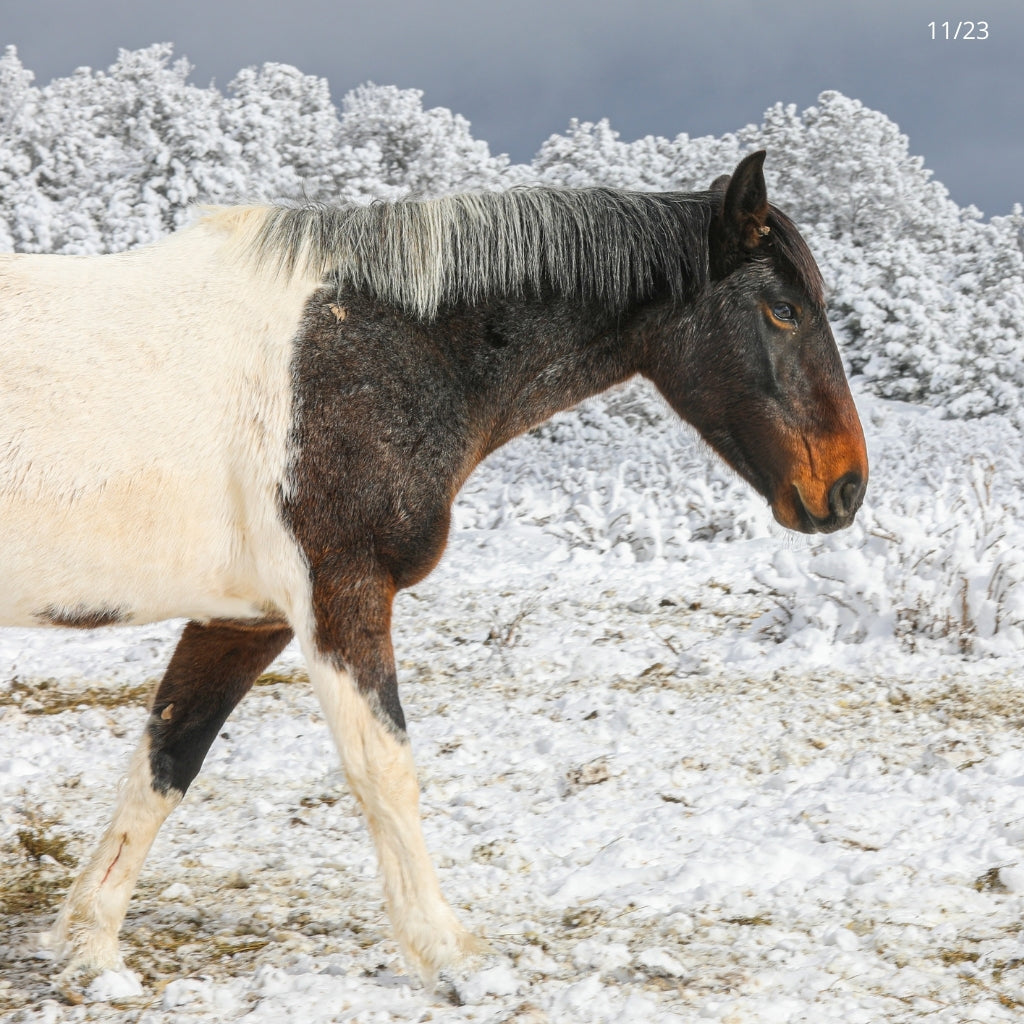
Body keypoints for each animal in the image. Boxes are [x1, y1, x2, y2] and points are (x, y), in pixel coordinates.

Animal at [0, 151, 868, 983]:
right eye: (783, 309)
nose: (847, 486)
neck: (377, 352)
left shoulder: (243, 619)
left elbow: (166, 762)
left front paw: (88, 946)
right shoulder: (342, 596)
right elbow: (384, 770)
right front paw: (447, 954)